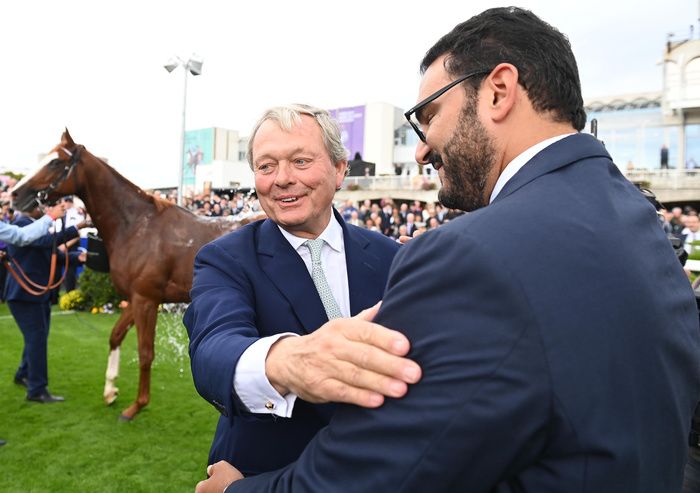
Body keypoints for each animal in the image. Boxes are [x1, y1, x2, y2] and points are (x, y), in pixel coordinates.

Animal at [12, 130, 258, 418]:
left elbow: (145, 352)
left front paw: (136, 406)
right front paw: (110, 391)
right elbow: (115, 336)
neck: (138, 226)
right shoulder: (135, 298)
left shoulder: (146, 300)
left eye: (54, 162)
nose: (15, 195)